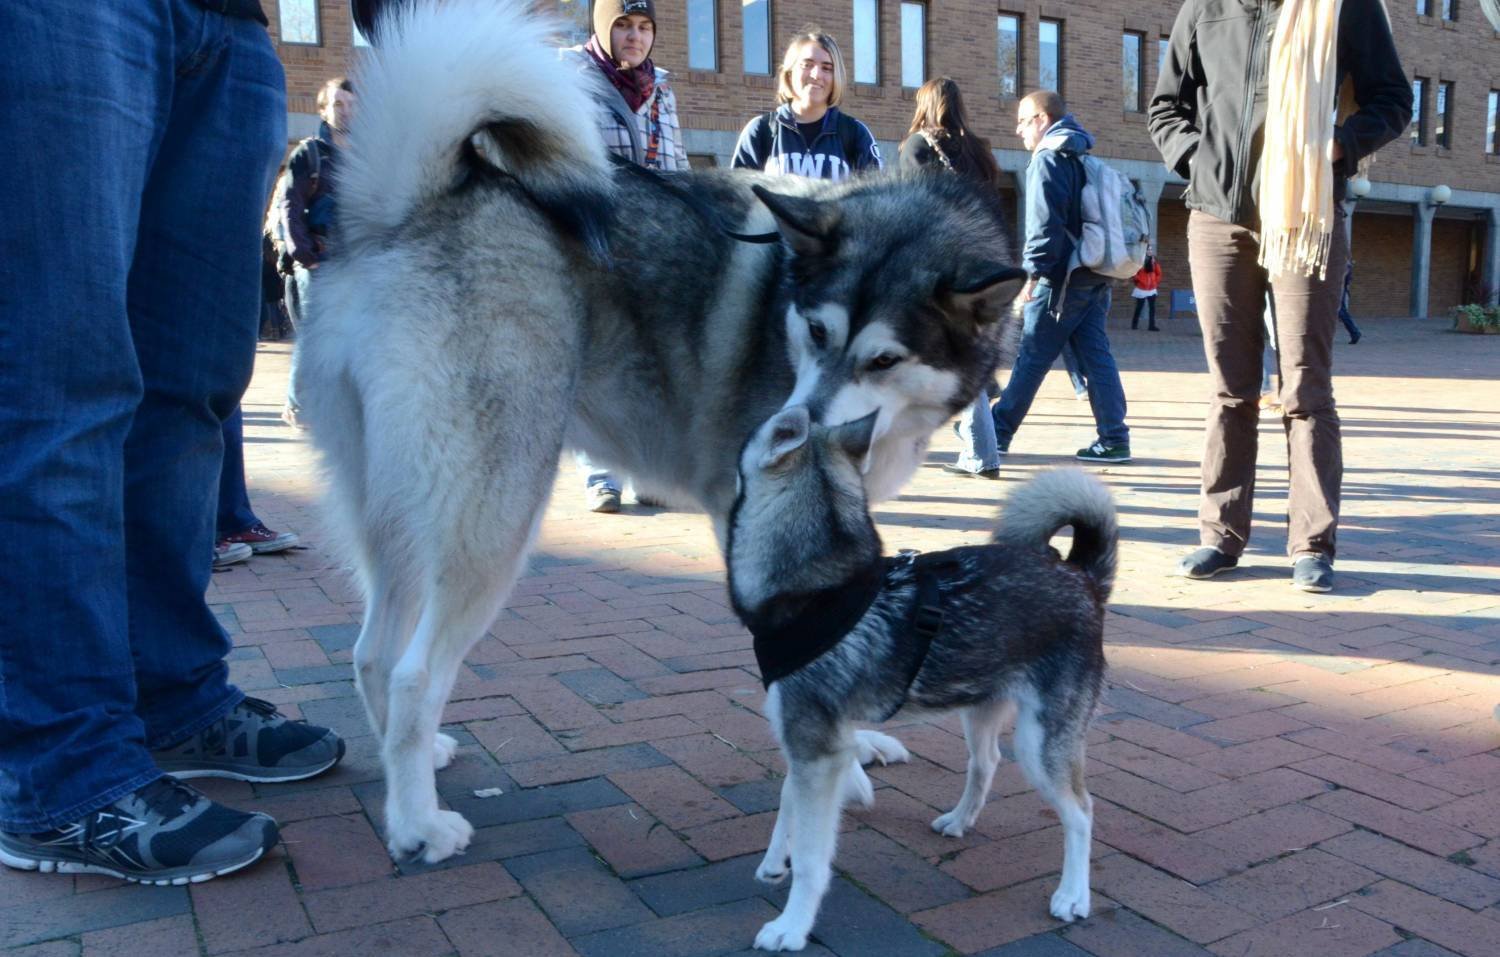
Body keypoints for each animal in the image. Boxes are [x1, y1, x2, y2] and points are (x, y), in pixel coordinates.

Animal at [298, 0, 1026, 864]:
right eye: (815, 332)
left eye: (882, 358)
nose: (785, 433)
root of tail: (409, 208)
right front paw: (840, 775)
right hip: (493, 520)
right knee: (414, 673)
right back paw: (417, 822)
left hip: (401, 521)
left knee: (373, 654)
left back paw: (406, 764)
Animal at [726, 408, 1116, 954]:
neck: (819, 592)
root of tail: (1083, 579)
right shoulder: (814, 744)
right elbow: (789, 802)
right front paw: (774, 860)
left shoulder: (816, 751)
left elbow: (812, 856)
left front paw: (792, 924)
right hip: (980, 710)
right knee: (986, 763)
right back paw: (960, 819)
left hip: (1041, 745)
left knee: (1081, 810)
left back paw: (1073, 894)